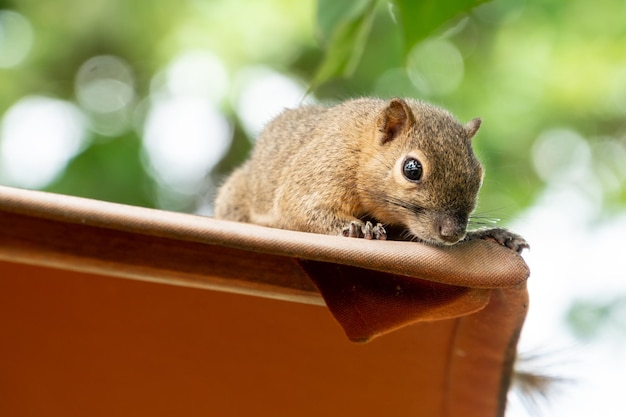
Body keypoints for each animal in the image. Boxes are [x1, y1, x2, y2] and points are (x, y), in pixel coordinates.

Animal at [214, 97, 528, 252]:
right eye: (412, 169)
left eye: (479, 175)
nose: (453, 233)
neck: (360, 152)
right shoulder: (322, 169)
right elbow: (299, 209)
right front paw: (358, 228)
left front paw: (488, 234)